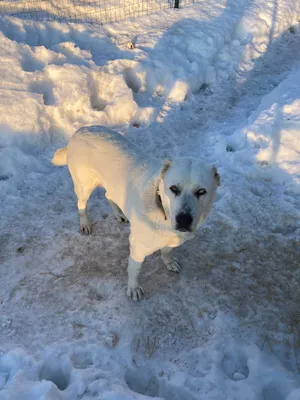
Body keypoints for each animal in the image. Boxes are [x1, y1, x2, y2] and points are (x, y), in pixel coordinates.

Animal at [52, 126, 220, 300]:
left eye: (201, 191)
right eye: (174, 188)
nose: (184, 220)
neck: (160, 207)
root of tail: (80, 131)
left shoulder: (170, 240)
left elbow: (166, 250)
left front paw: (168, 261)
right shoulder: (137, 246)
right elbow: (134, 270)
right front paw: (133, 288)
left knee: (108, 195)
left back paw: (119, 214)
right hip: (84, 186)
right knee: (81, 204)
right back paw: (85, 223)